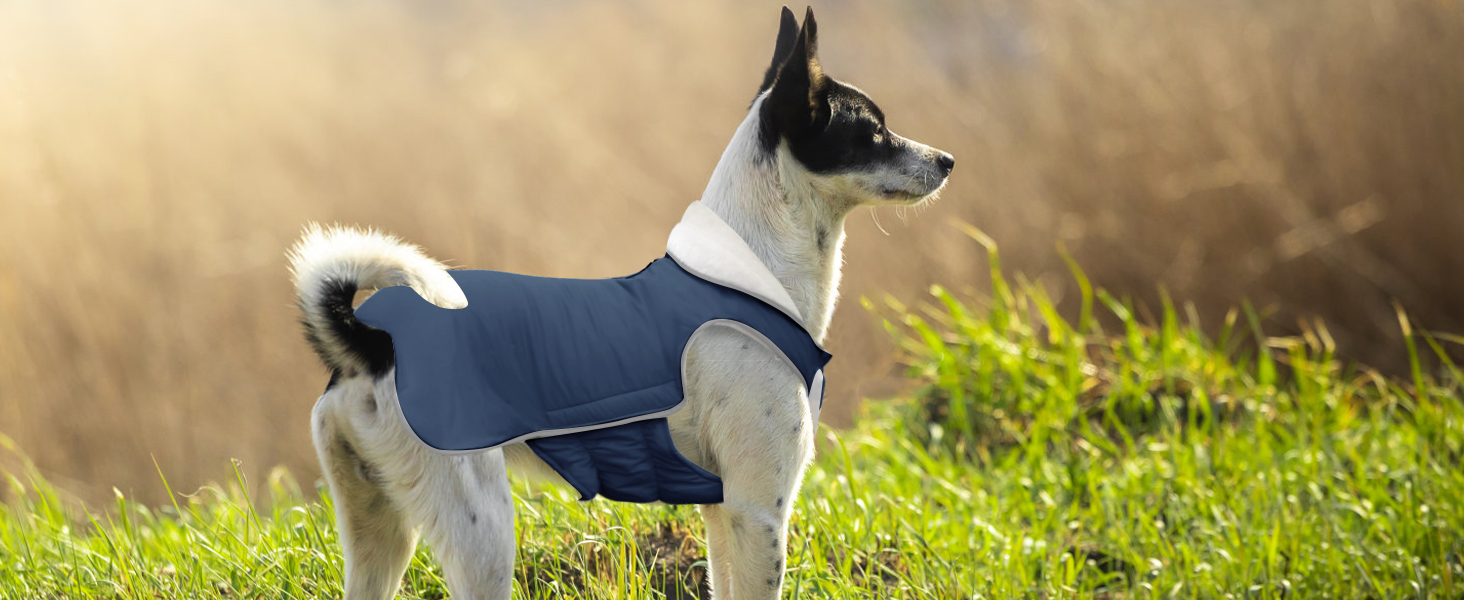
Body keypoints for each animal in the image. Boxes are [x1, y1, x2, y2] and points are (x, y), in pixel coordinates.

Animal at [289, 7, 954, 597]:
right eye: (873, 131)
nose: (948, 159)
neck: (758, 270)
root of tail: (371, 344)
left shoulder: (722, 513)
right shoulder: (758, 509)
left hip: (377, 534)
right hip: (482, 533)